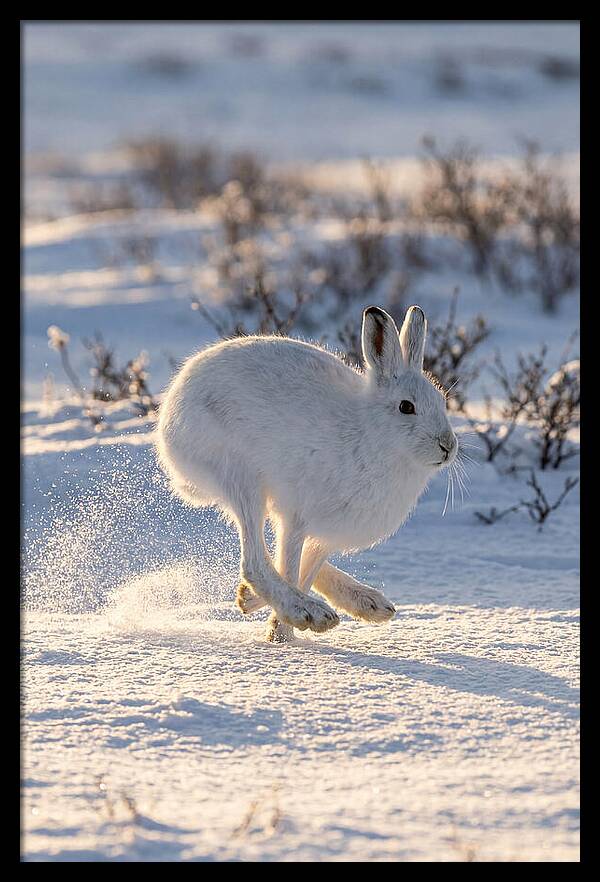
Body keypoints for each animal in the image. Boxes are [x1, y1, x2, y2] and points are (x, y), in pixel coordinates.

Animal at [156, 304, 458, 642]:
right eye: (406, 407)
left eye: (442, 401)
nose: (448, 446)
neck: (371, 435)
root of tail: (169, 415)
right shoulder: (298, 517)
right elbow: (290, 566)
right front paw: (283, 634)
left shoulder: (326, 533)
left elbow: (306, 569)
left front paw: (272, 622)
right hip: (241, 478)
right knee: (255, 561)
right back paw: (307, 611)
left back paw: (366, 603)